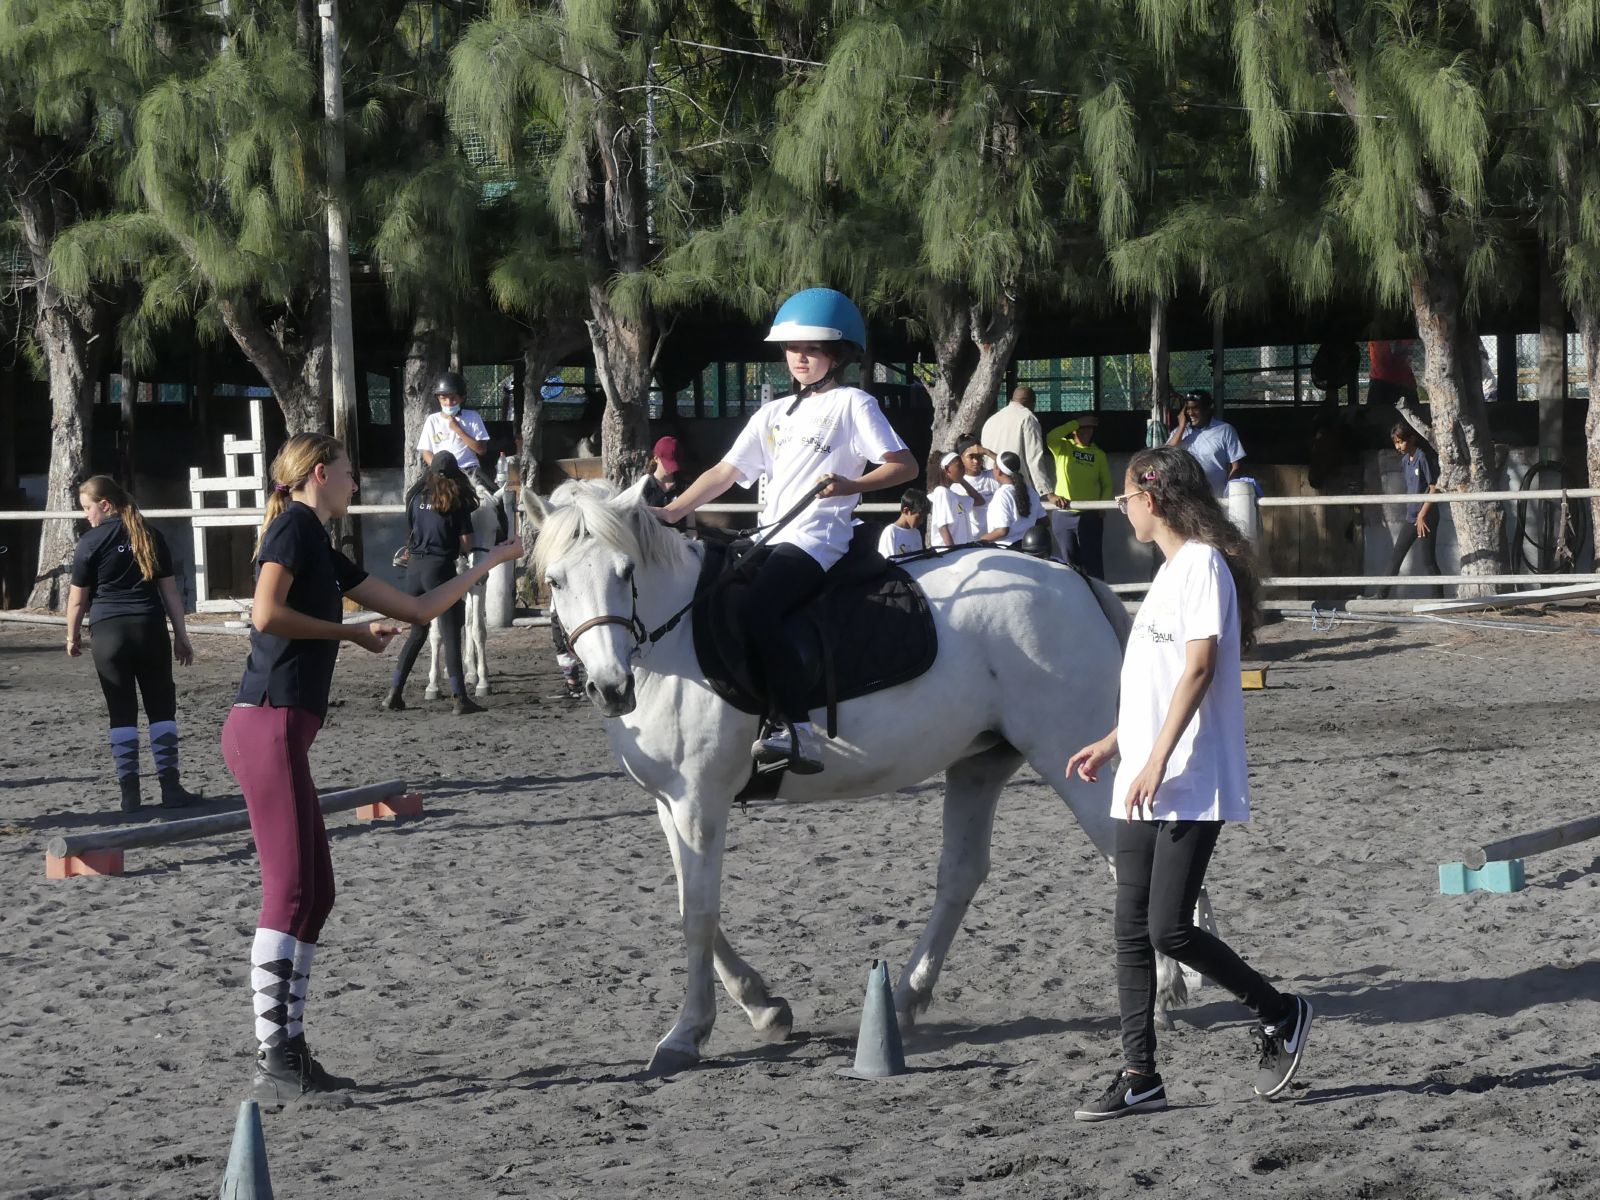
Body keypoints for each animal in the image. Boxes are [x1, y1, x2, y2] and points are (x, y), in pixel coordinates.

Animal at [425, 480, 505, 700]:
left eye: (496, 529)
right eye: (468, 528)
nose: (482, 574)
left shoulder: (476, 587)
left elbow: (477, 629)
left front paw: (483, 682)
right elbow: (437, 634)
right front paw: (433, 684)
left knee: (468, 623)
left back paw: (471, 671)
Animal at [521, 483, 1190, 1075]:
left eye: (624, 571)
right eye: (556, 582)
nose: (610, 688)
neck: (673, 642)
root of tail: (1070, 578)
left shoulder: (699, 801)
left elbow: (699, 916)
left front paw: (686, 1034)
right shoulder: (671, 803)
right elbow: (693, 906)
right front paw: (764, 1008)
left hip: (1069, 751)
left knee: (1123, 851)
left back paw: (1167, 989)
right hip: (980, 763)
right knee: (962, 874)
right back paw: (910, 996)